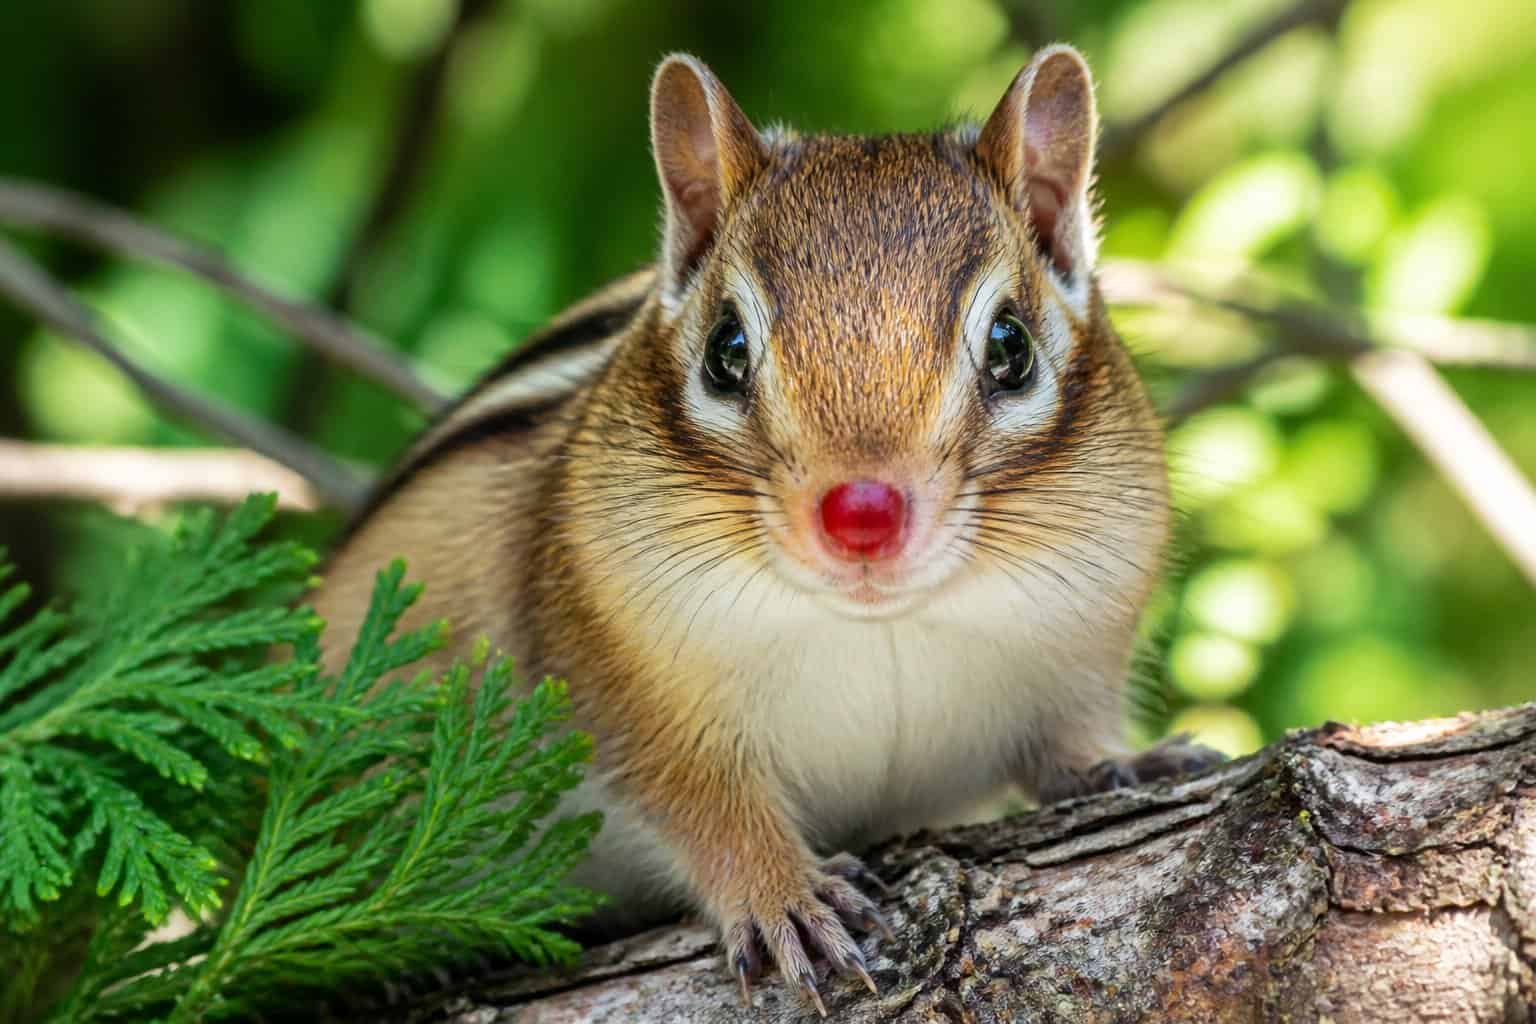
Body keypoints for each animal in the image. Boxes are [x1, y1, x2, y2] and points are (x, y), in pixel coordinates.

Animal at [312, 44, 1222, 1015]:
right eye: (727, 350)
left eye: (1010, 346)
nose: (862, 514)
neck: (879, 628)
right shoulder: (631, 699)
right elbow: (705, 810)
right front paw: (783, 896)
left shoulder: (1075, 666)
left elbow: (1063, 747)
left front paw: (1124, 765)